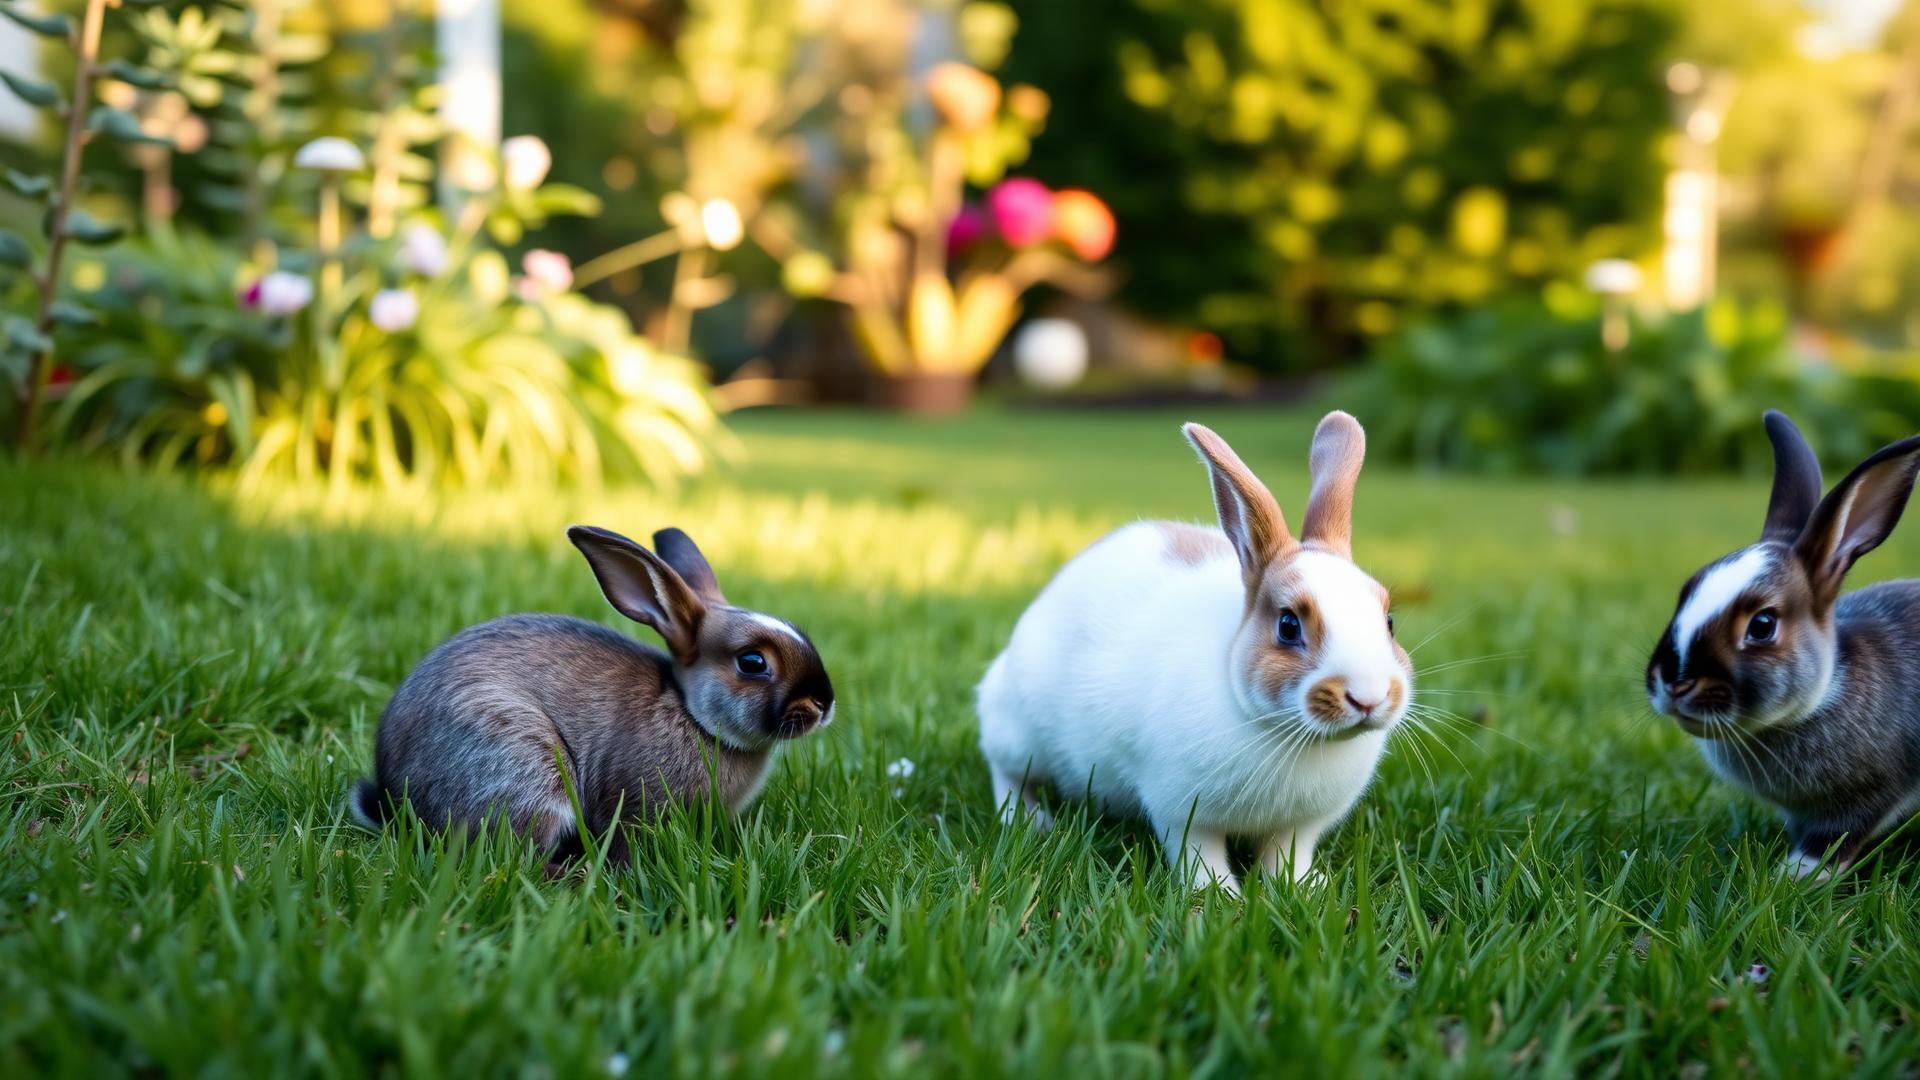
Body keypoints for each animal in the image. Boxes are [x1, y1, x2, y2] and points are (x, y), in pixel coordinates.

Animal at [348, 524, 835, 866]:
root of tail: (395, 799)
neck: (691, 714)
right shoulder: (633, 805)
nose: (824, 703)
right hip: (522, 769)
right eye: (752, 663)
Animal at [976, 412, 1413, 892]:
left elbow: (1285, 855)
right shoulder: (1180, 810)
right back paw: (1029, 820)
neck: (1286, 733)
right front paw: (1220, 894)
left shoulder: (1298, 826)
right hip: (1018, 732)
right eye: (1288, 626)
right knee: (1005, 771)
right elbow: (1199, 854)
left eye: (1388, 622)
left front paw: (1302, 888)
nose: (1368, 697)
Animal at [1647, 411, 1920, 878]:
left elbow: (1832, 843)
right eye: (1686, 592)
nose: (1674, 683)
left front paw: (1793, 878)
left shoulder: (1871, 794)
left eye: (1762, 625)